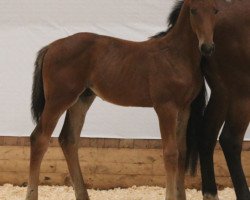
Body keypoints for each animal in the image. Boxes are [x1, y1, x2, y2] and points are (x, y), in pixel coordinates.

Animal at [24, 0, 218, 200]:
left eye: (216, 10)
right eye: (193, 11)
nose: (207, 47)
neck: (175, 55)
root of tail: (51, 46)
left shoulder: (185, 108)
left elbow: (182, 151)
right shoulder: (166, 107)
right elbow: (171, 153)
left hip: (81, 100)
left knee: (68, 140)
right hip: (58, 99)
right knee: (39, 138)